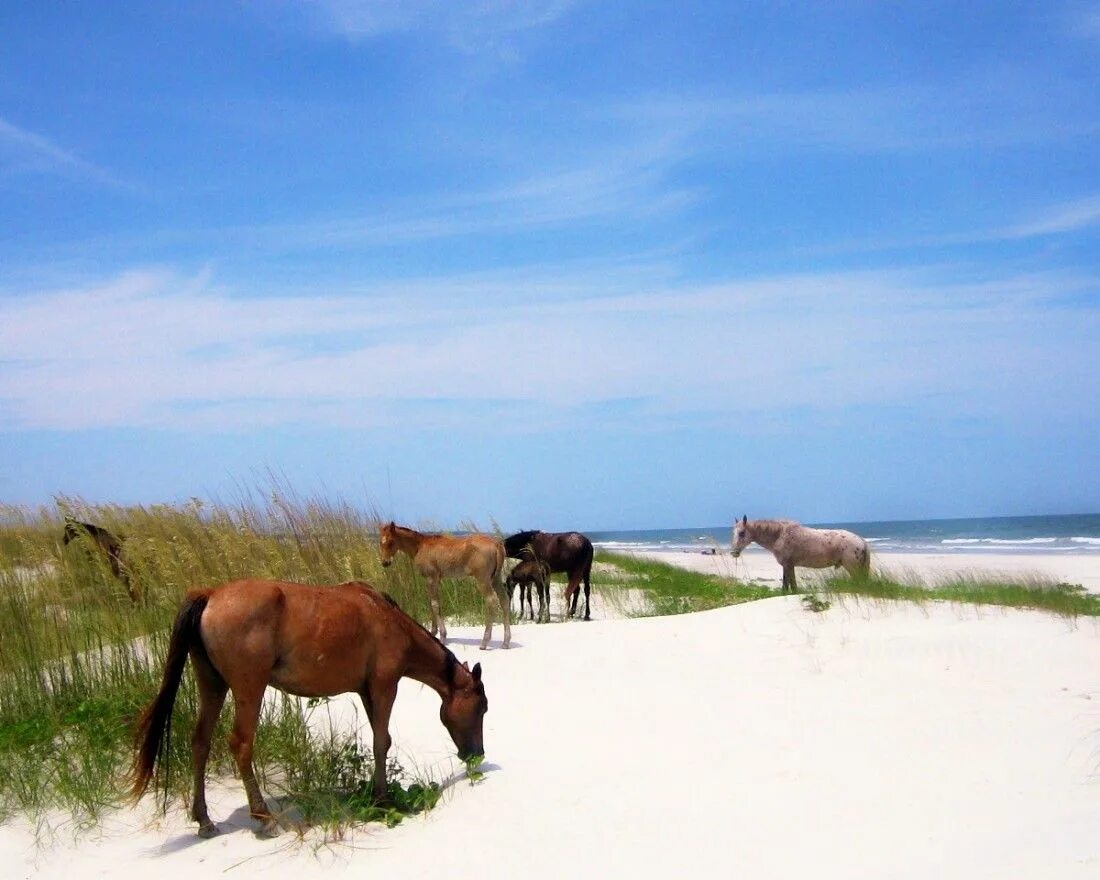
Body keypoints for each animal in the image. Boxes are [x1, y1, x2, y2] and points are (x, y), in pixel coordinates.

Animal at [130, 576, 488, 840]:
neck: (389, 618)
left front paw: (378, 793)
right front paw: (384, 800)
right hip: (249, 688)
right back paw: (263, 817)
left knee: (201, 742)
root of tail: (211, 595)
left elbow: (378, 741)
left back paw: (204, 820)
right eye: (482, 708)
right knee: (241, 744)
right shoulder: (385, 687)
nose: (476, 754)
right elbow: (381, 742)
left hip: (212, 684)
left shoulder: (367, 691)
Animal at [378, 523, 510, 651]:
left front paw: (442, 636)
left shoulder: (431, 578)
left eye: (391, 542)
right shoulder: (437, 580)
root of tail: (496, 544)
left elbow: (434, 605)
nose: (385, 562)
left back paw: (484, 642)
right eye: (380, 542)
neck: (420, 546)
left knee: (491, 600)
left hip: (483, 579)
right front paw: (432, 632)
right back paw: (505, 642)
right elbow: (433, 603)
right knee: (504, 600)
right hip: (496, 578)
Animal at [734, 512, 871, 594]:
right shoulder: (788, 566)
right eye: (733, 532)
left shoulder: (788, 565)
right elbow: (788, 585)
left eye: (742, 533)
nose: (733, 552)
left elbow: (791, 585)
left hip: (853, 569)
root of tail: (861, 541)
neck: (780, 535)